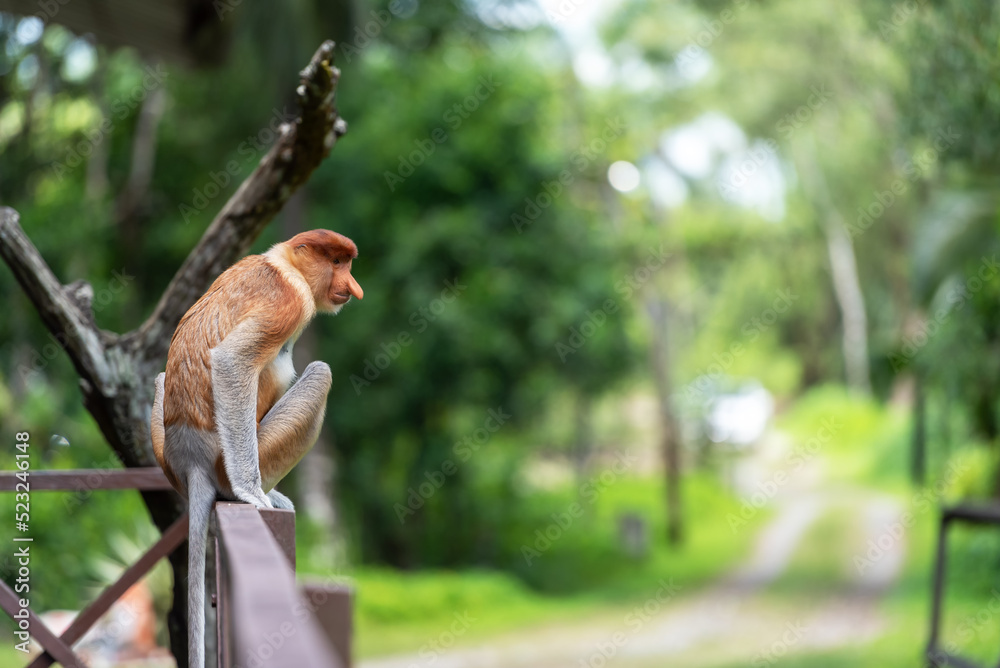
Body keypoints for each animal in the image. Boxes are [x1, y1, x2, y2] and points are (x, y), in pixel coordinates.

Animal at [149, 229, 363, 668]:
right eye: (336, 262)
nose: (353, 287)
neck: (285, 263)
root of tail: (190, 461)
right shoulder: (291, 302)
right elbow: (232, 362)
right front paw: (251, 492)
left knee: (159, 377)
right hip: (236, 455)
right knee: (317, 373)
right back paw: (255, 490)